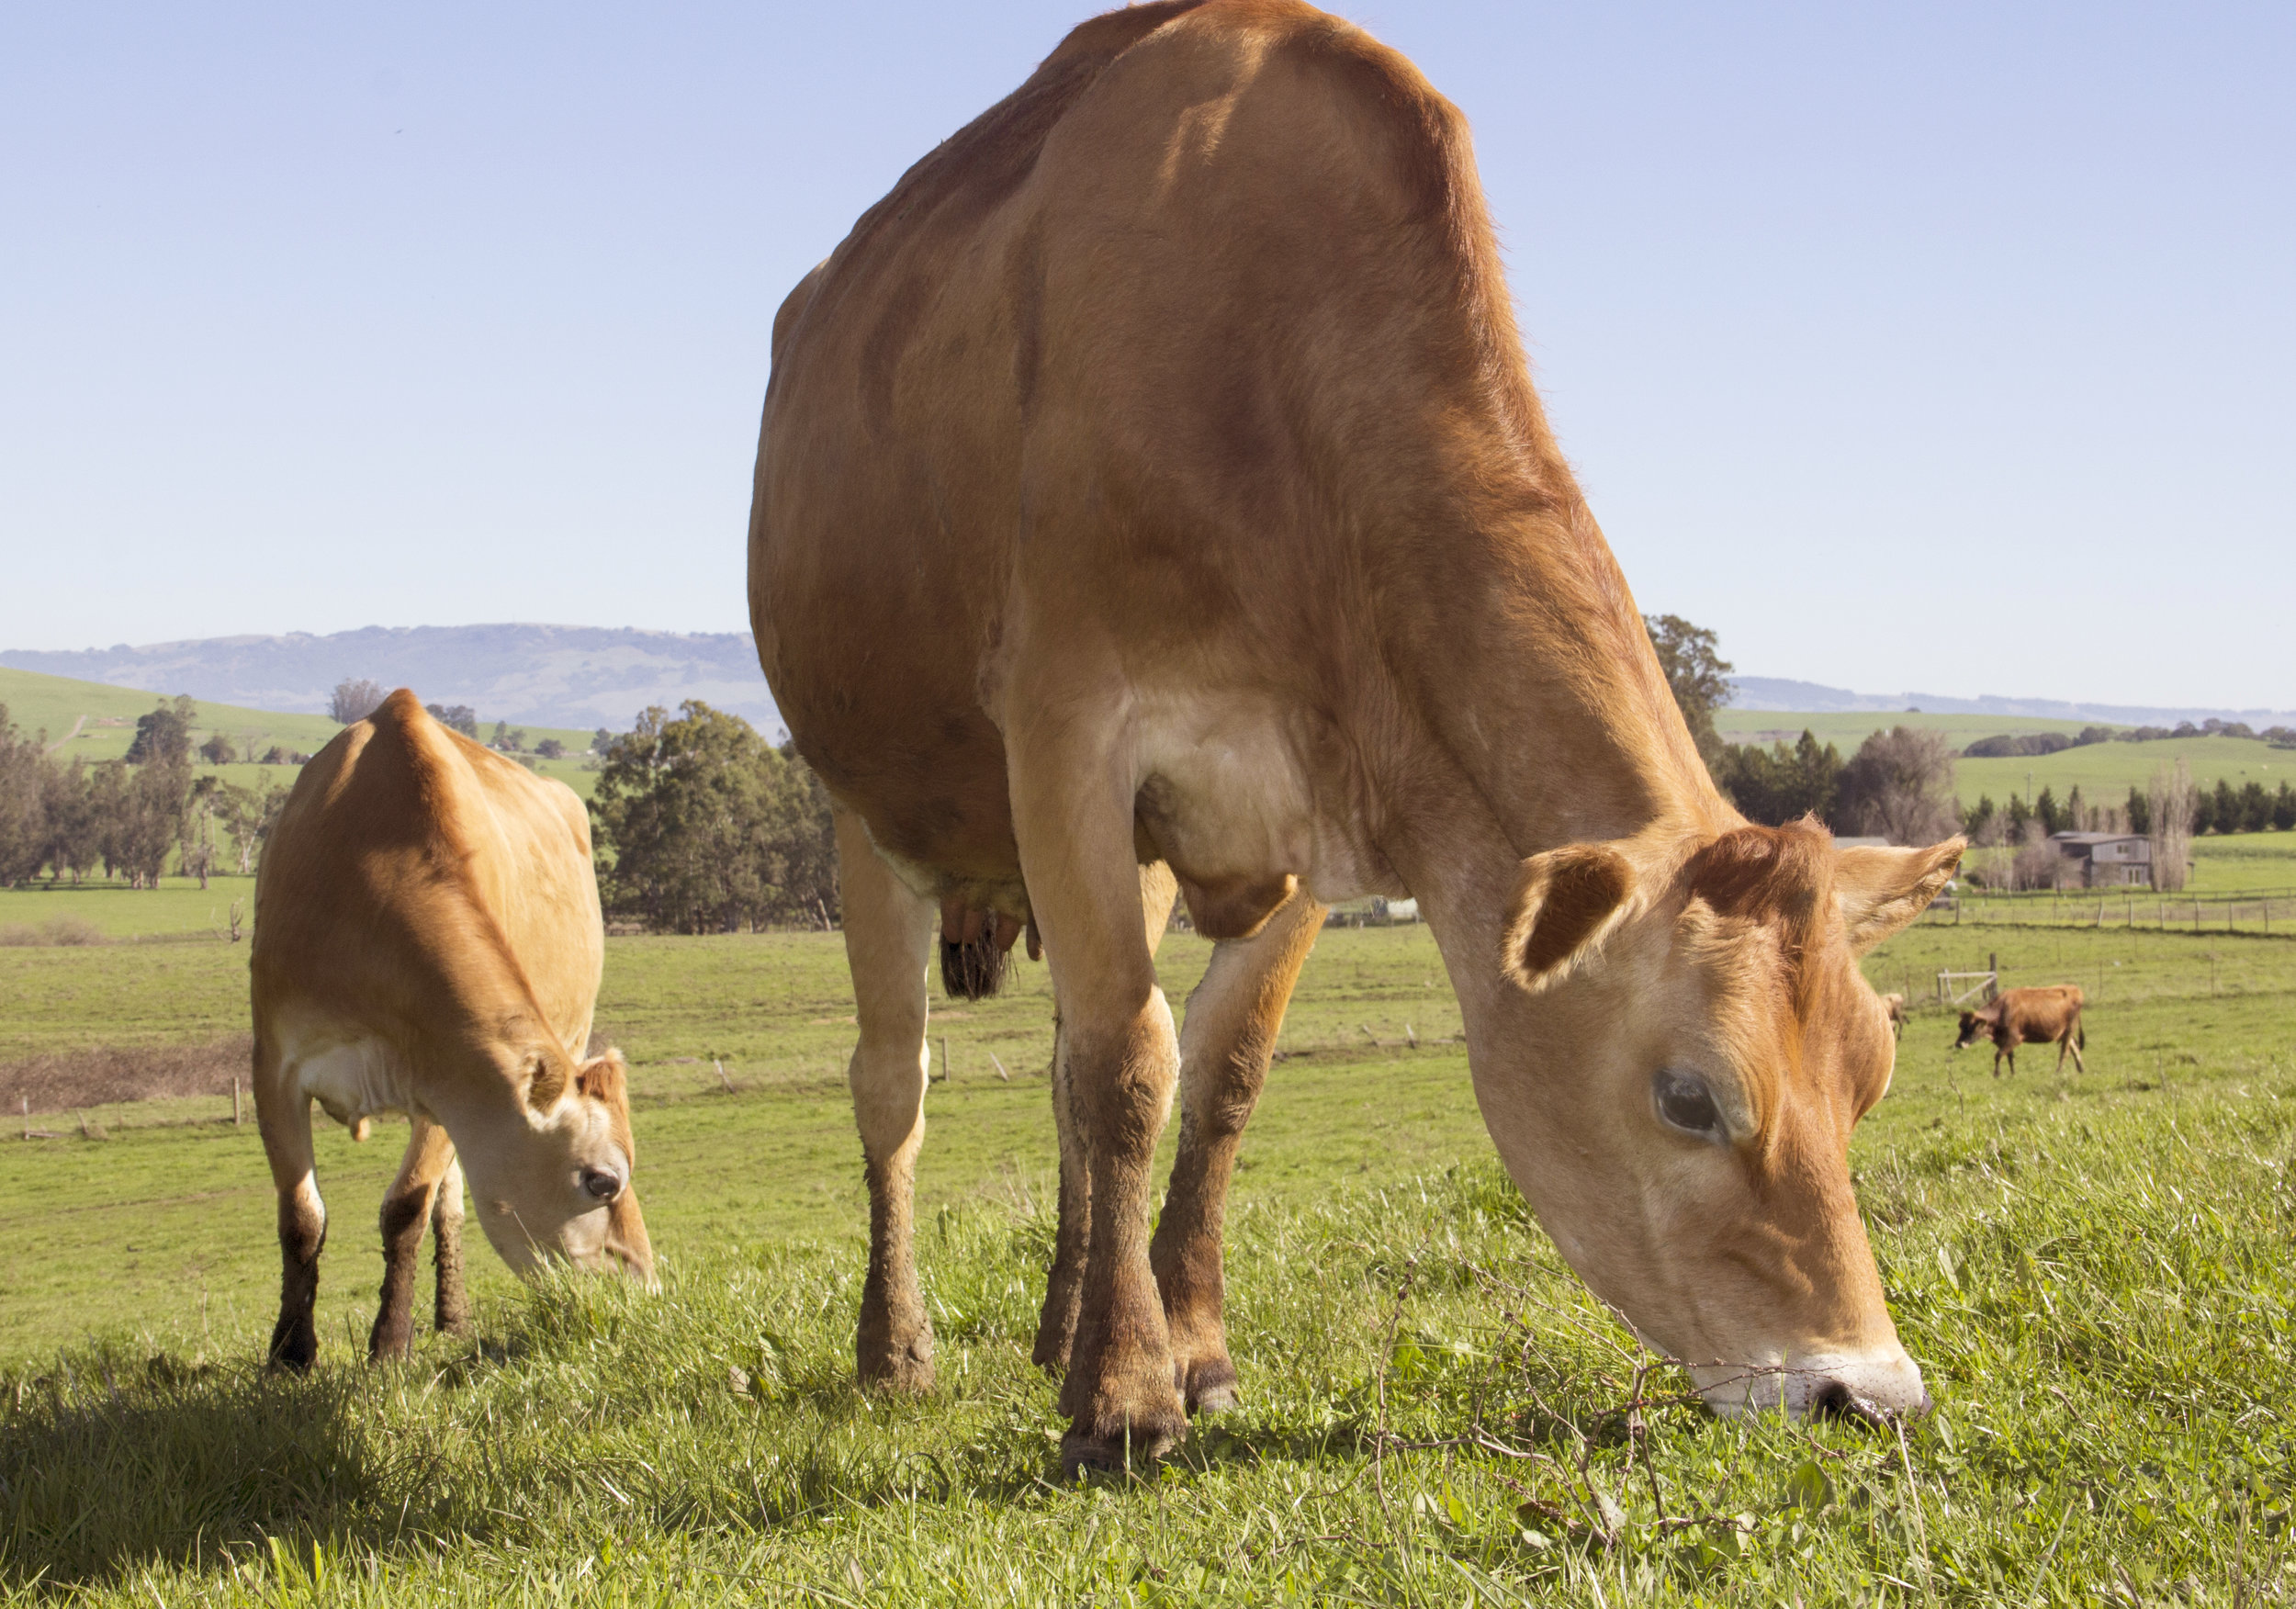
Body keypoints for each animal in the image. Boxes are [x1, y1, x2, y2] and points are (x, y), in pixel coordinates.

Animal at [251, 688, 657, 1367]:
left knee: (449, 1204)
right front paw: (290, 1353)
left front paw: (390, 1344)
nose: (647, 1285)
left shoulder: (451, 1085)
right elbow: (300, 1215)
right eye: (602, 1179)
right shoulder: (274, 1065)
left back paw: (452, 1316)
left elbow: (409, 1207)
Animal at [748, 0, 1956, 1468]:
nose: (1868, 1392)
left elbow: (1212, 1073)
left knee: (1064, 1069)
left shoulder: (1319, 810)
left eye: (1874, 1075)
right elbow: (1129, 1069)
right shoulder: (1067, 737)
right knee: (897, 1083)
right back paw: (898, 1349)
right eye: (1688, 1095)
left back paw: (1059, 1325)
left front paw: (1188, 1352)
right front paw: (1125, 1400)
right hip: (868, 809)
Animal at [1956, 986, 2085, 1074]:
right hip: (2065, 1033)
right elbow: (2009, 1057)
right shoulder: (2003, 1040)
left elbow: (1998, 1055)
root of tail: (2075, 989)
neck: (2002, 1009)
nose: (1958, 1044)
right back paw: (2080, 1069)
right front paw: (2013, 1074)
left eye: (1972, 1027)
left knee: (2065, 1052)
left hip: (2069, 1030)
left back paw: (2058, 1072)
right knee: (2074, 1048)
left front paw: (1997, 1074)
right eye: (1960, 1025)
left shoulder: (2015, 1038)